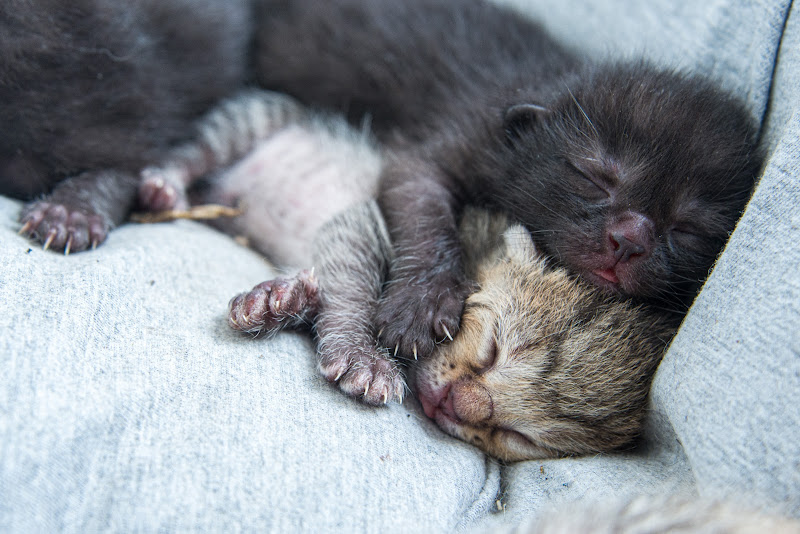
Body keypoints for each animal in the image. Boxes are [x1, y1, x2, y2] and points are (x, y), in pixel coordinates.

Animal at [139, 91, 676, 460]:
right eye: (493, 348)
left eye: (519, 436)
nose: (456, 407)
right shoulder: (366, 222)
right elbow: (354, 285)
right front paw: (364, 358)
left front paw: (281, 301)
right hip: (259, 114)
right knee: (201, 147)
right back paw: (165, 185)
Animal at [255, 0, 764, 360]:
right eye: (594, 177)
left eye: (689, 229)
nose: (629, 240)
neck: (539, 83)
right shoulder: (445, 140)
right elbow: (425, 210)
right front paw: (422, 304)